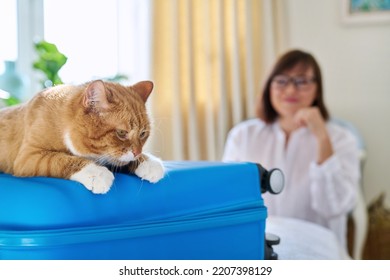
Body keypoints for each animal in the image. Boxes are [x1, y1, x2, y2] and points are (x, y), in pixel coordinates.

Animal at [0, 81, 164, 194]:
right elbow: (60, 159)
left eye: (143, 134)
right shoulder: (28, 157)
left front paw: (148, 162)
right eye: (122, 133)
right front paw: (96, 173)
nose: (137, 152)